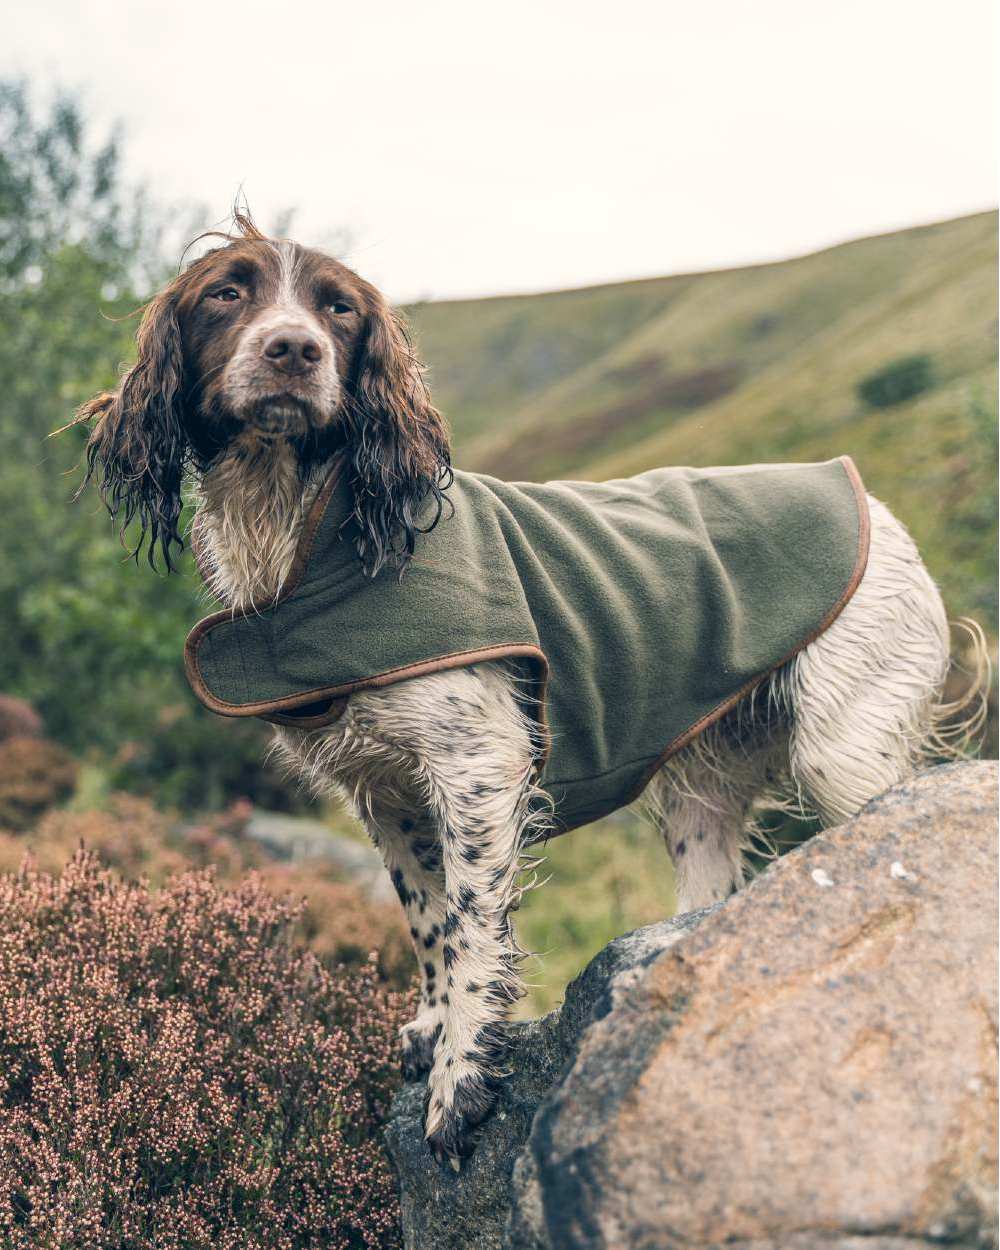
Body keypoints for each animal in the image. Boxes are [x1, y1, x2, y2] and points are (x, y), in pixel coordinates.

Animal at [74, 215, 980, 1160]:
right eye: (227, 293)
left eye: (339, 309)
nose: (294, 350)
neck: (315, 531)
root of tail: (872, 500)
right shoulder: (386, 791)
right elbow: (429, 919)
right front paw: (432, 1028)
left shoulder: (476, 766)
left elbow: (473, 929)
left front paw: (461, 1078)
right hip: (704, 791)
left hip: (847, 752)